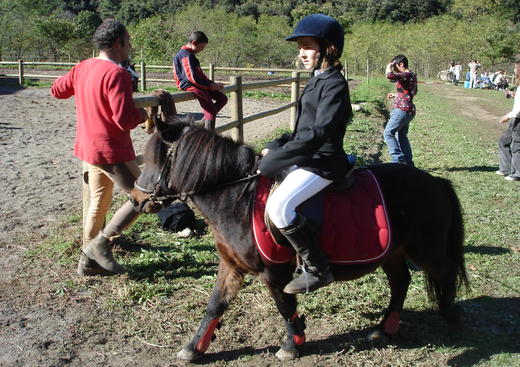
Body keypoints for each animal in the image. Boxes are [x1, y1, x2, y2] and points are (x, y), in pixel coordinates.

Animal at [131, 115, 472, 362]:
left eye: (154, 159)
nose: (136, 199)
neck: (238, 198)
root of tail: (435, 182)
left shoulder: (274, 272)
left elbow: (285, 305)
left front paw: (292, 346)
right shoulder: (231, 266)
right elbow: (215, 305)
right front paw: (193, 347)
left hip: (426, 249)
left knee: (444, 273)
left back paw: (452, 318)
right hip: (393, 251)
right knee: (400, 281)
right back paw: (384, 330)